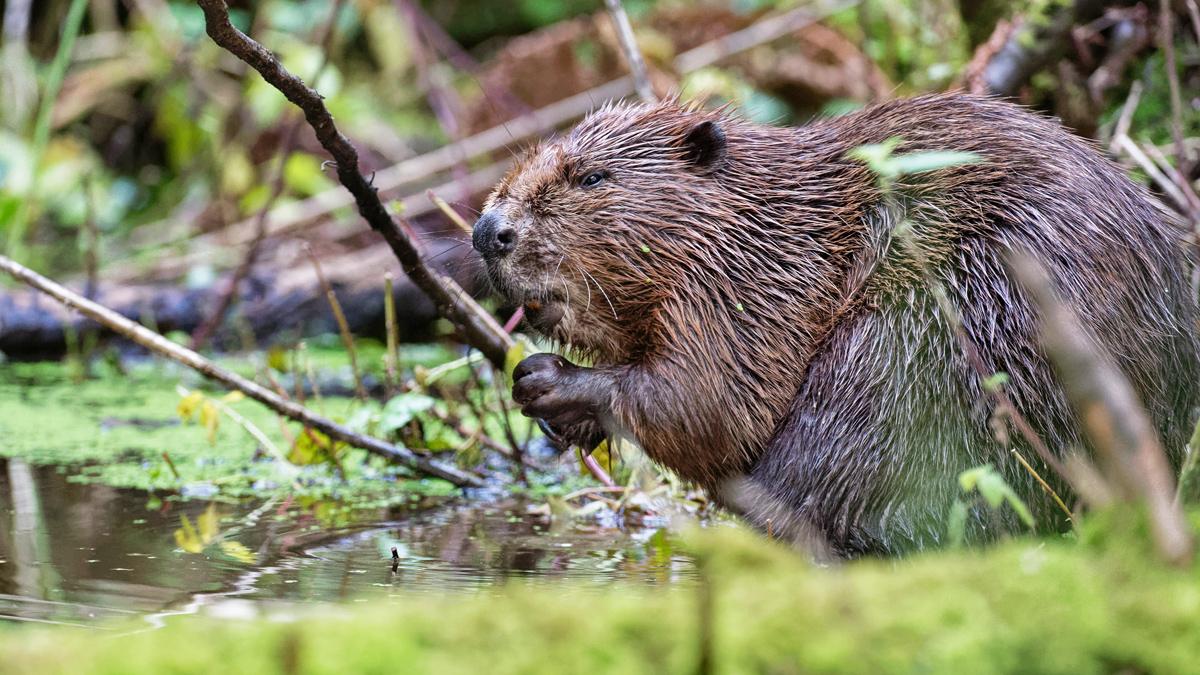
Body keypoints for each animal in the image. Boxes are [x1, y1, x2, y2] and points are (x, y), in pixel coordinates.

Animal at [470, 94, 1200, 557]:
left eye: (592, 177)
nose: (487, 230)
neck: (760, 218)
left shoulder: (745, 289)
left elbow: (709, 403)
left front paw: (547, 380)